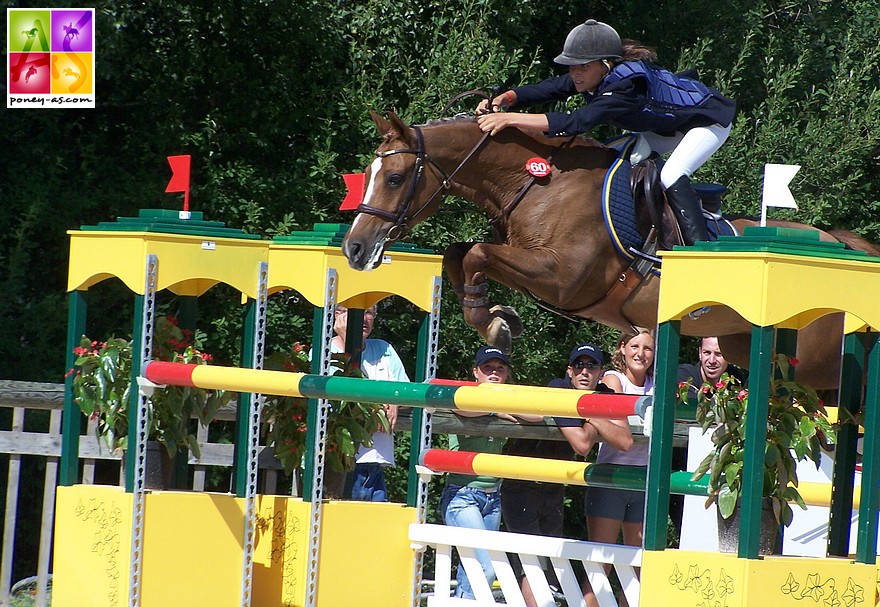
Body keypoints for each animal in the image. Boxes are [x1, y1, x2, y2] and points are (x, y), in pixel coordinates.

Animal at [340, 112, 876, 390]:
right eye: (369, 174)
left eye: (394, 178)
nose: (355, 248)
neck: (539, 184)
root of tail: (841, 244)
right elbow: (459, 253)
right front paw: (498, 317)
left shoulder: (562, 278)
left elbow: (475, 255)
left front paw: (494, 324)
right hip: (748, 345)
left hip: (816, 361)